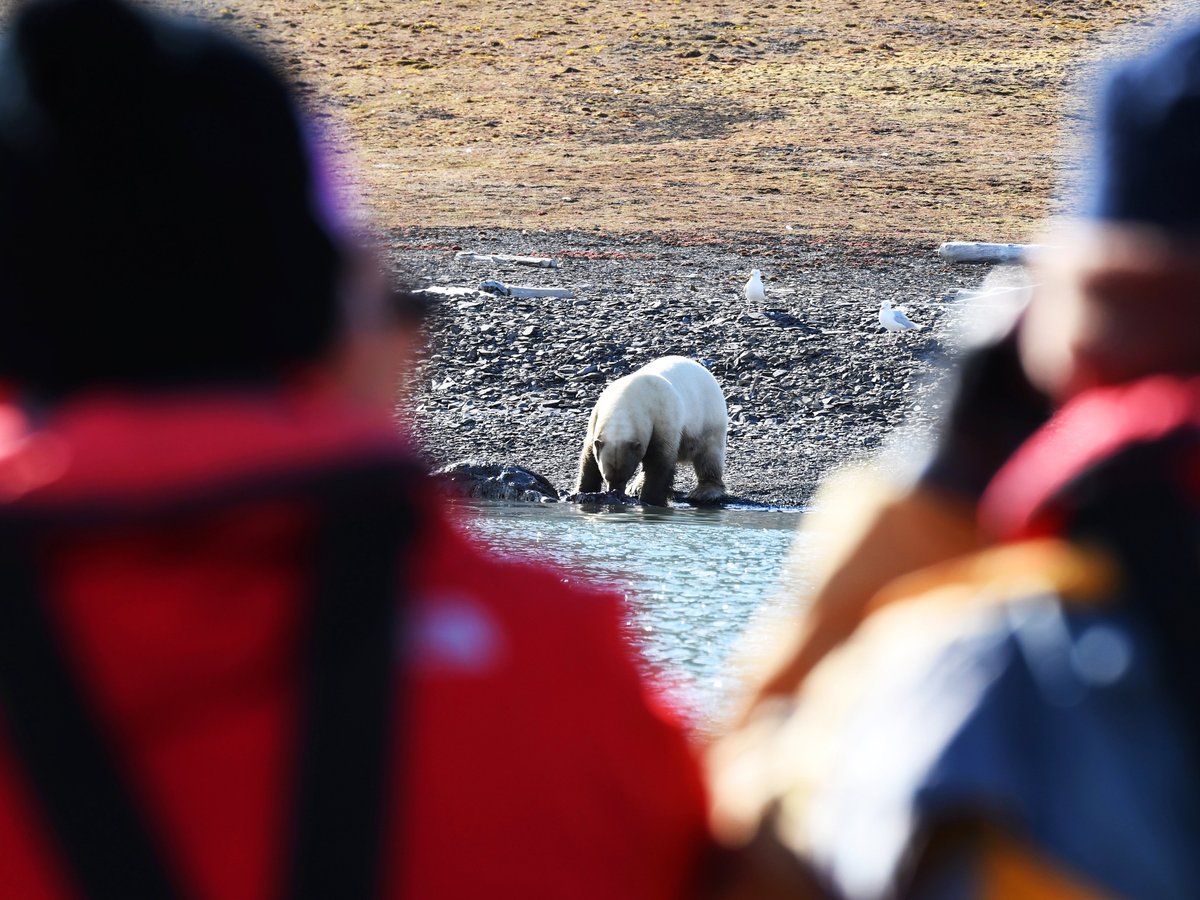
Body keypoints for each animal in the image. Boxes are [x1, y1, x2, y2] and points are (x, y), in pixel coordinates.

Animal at [576, 355, 724, 508]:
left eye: (624, 477)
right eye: (606, 477)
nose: (615, 492)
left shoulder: (662, 418)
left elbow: (659, 462)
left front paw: (651, 501)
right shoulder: (596, 418)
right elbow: (589, 458)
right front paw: (584, 492)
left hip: (708, 417)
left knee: (708, 455)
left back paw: (704, 492)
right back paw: (636, 486)